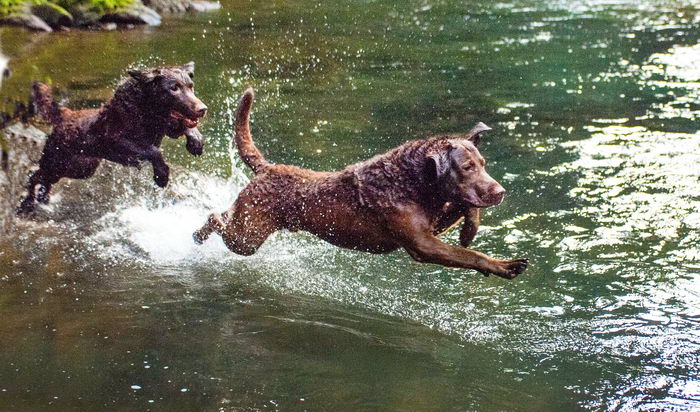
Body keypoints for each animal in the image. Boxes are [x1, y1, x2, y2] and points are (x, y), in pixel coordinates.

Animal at [17, 62, 208, 216]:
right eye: (174, 88)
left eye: (191, 86)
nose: (203, 109)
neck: (145, 110)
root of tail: (64, 114)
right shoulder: (117, 142)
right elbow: (153, 151)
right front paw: (161, 176)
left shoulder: (167, 127)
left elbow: (187, 127)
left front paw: (196, 143)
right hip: (57, 162)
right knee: (35, 177)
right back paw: (27, 203)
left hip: (81, 167)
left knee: (44, 179)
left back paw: (43, 198)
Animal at [194, 88, 528, 278]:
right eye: (467, 167)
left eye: (483, 165)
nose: (501, 192)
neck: (410, 181)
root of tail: (268, 168)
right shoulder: (422, 244)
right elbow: (470, 255)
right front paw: (505, 266)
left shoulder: (432, 225)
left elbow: (463, 207)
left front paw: (470, 229)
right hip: (247, 237)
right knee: (217, 218)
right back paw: (200, 231)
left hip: (248, 229)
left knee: (225, 215)